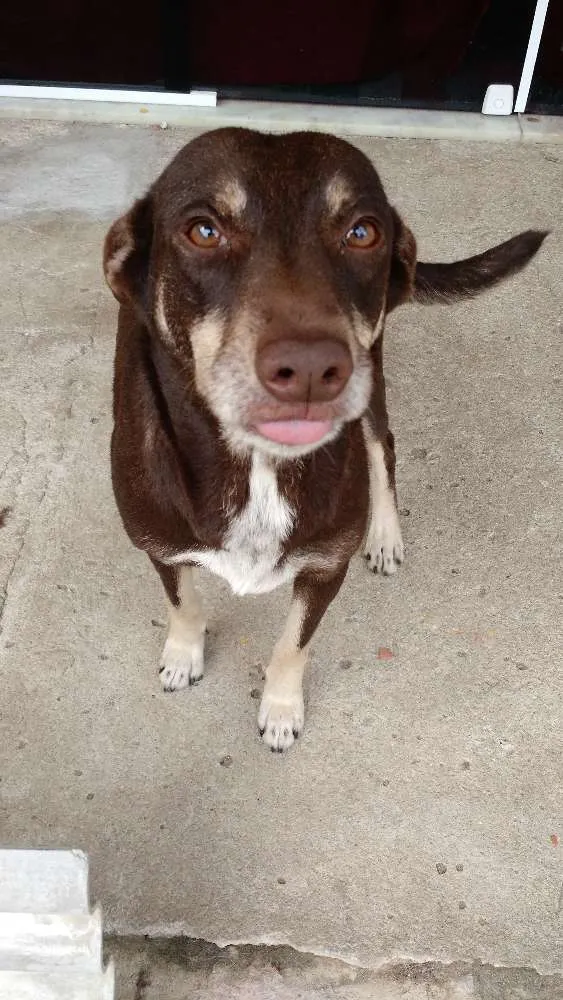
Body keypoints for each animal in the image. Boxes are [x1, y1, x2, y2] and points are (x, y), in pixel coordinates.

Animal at [103, 127, 548, 752]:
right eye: (203, 231)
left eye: (362, 231)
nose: (311, 368)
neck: (258, 468)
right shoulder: (158, 545)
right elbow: (184, 601)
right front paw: (184, 655)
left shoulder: (324, 569)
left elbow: (294, 643)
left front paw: (280, 709)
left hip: (374, 378)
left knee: (383, 446)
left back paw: (383, 533)